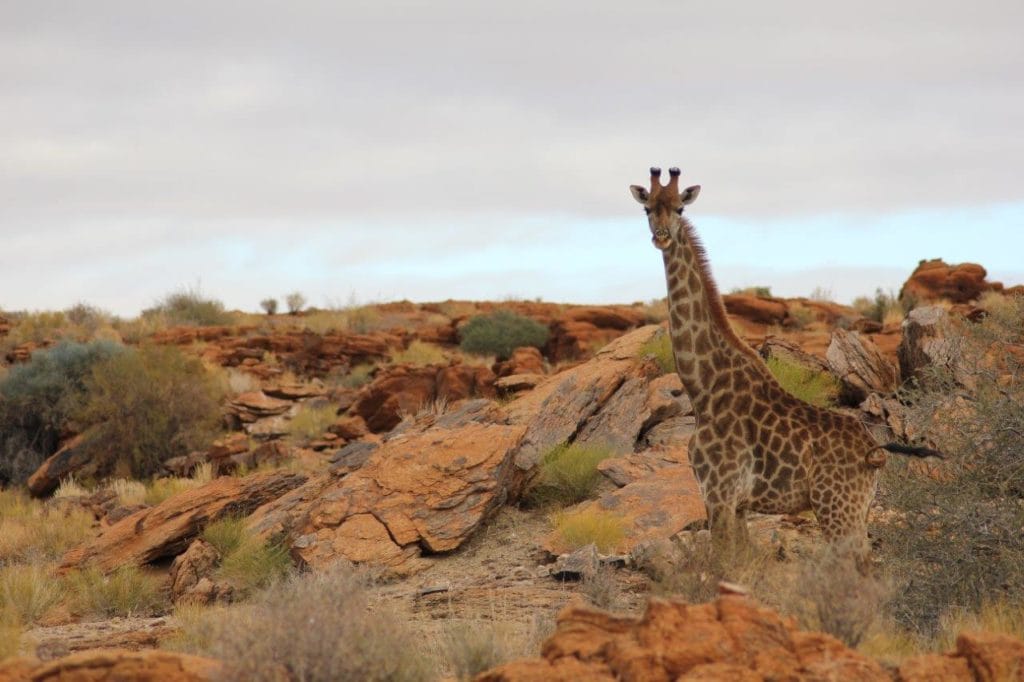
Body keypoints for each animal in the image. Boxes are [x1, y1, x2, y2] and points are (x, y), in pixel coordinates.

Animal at [626, 164, 937, 557]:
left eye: (680, 209)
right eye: (647, 209)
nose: (662, 237)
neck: (702, 387)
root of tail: (874, 452)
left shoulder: (720, 493)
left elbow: (721, 564)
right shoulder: (736, 504)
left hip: (838, 509)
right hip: (857, 509)